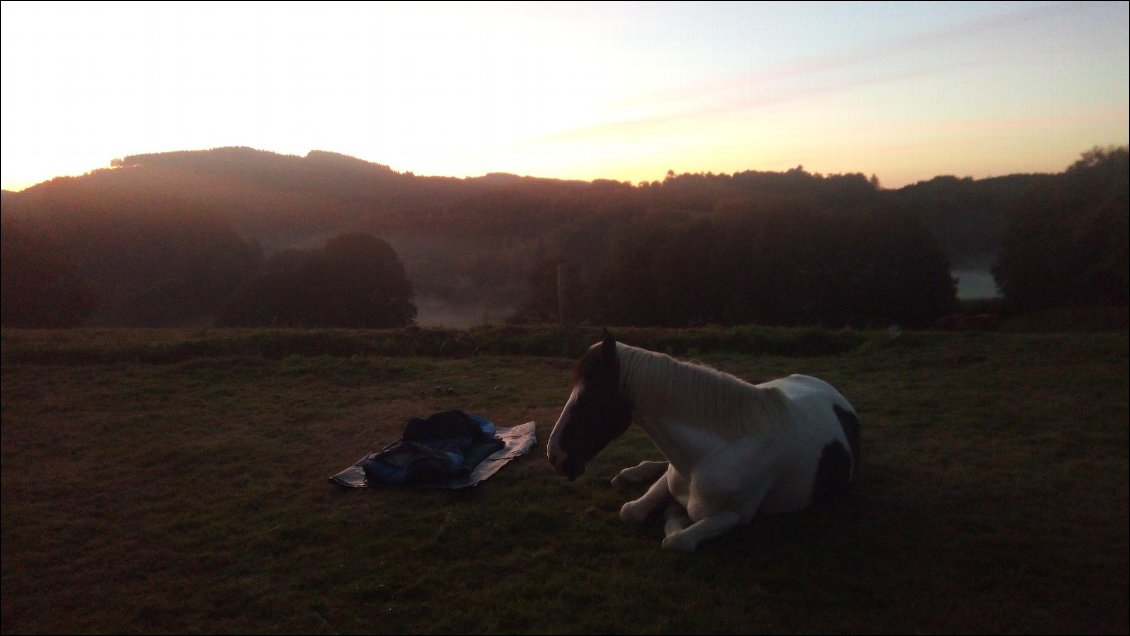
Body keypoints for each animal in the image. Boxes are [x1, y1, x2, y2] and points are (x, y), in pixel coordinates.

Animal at [544, 334, 854, 553]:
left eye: (590, 397)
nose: (555, 456)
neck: (707, 455)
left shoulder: (733, 517)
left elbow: (677, 540)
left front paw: (674, 516)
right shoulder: (673, 473)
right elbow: (631, 510)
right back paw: (630, 474)